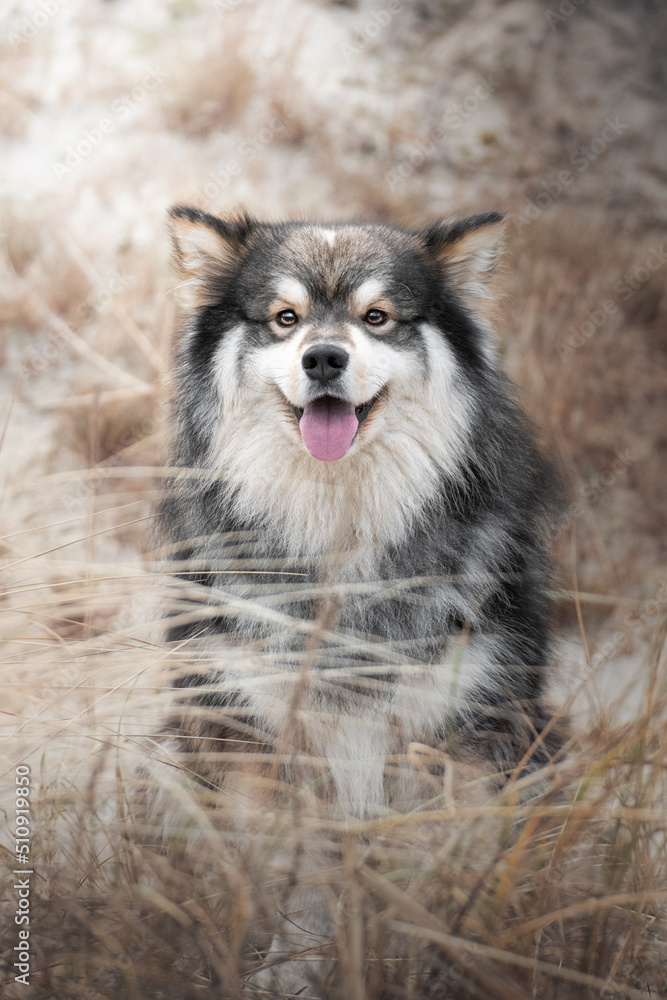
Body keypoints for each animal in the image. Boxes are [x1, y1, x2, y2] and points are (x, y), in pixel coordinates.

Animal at [155, 203, 564, 992]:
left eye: (377, 318)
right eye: (284, 318)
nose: (323, 359)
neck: (340, 539)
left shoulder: (462, 735)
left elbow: (437, 873)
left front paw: (437, 966)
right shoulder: (252, 736)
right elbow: (289, 882)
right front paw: (284, 976)